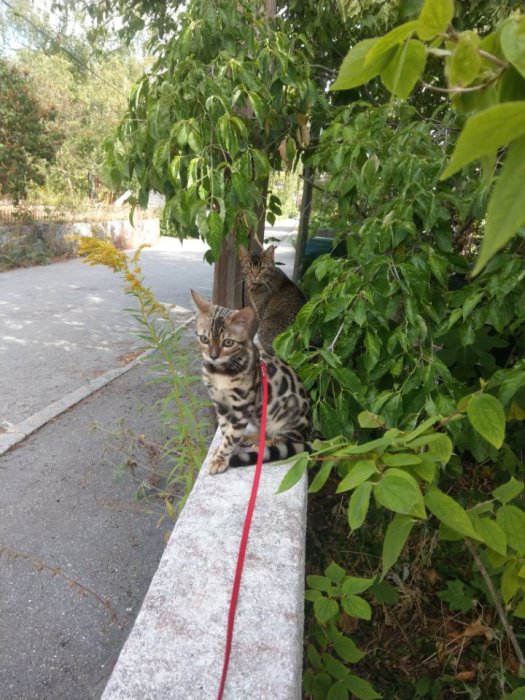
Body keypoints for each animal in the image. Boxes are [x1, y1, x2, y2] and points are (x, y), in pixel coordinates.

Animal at [189, 286, 310, 476]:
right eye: (204, 339)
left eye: (228, 342)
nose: (213, 356)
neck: (220, 373)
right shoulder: (220, 403)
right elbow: (226, 430)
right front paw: (226, 450)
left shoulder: (243, 406)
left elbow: (231, 436)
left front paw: (221, 459)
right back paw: (251, 438)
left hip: (290, 407)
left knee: (288, 439)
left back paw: (264, 445)